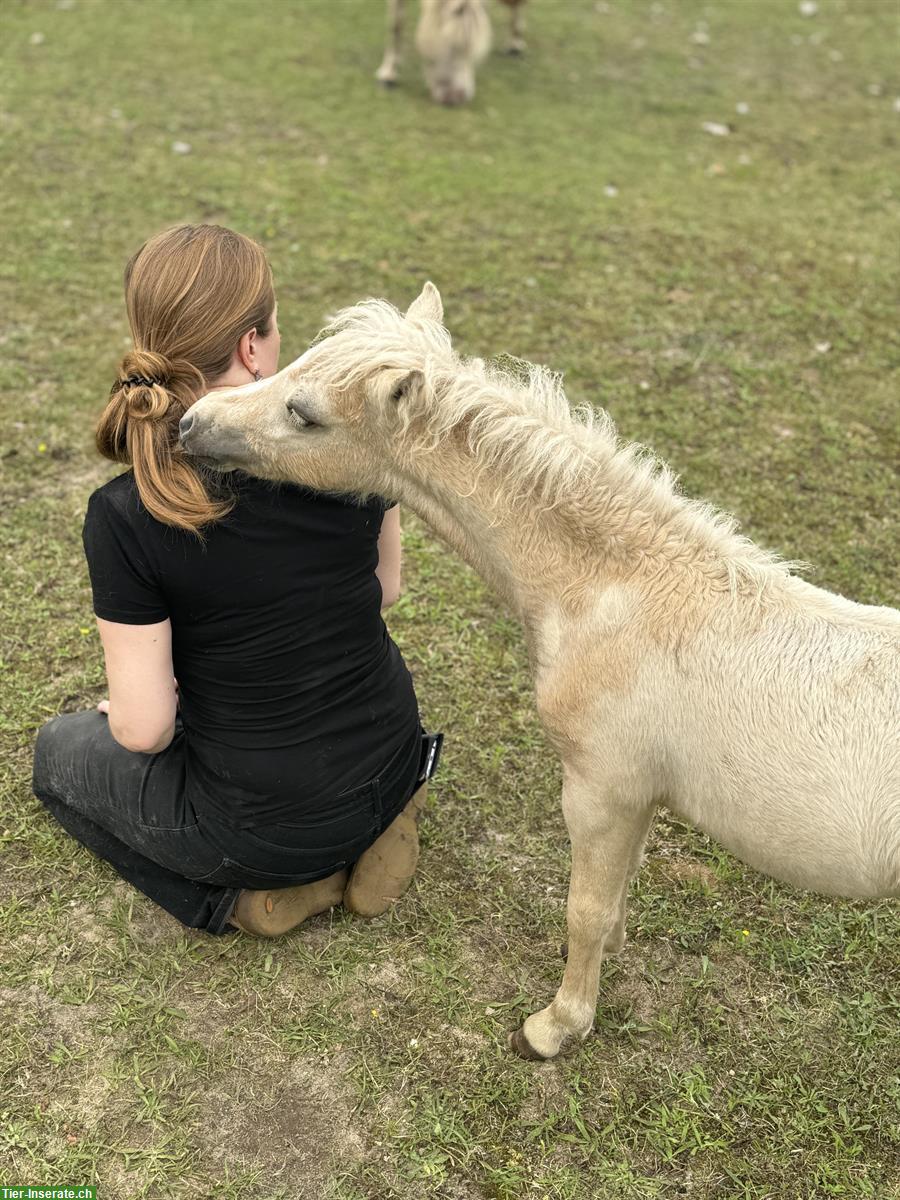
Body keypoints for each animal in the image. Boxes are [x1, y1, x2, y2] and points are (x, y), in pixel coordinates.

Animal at [183, 285, 900, 1065]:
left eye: (305, 413)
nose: (191, 422)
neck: (620, 592)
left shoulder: (599, 789)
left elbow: (584, 908)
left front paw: (556, 1026)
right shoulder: (636, 796)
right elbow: (615, 893)